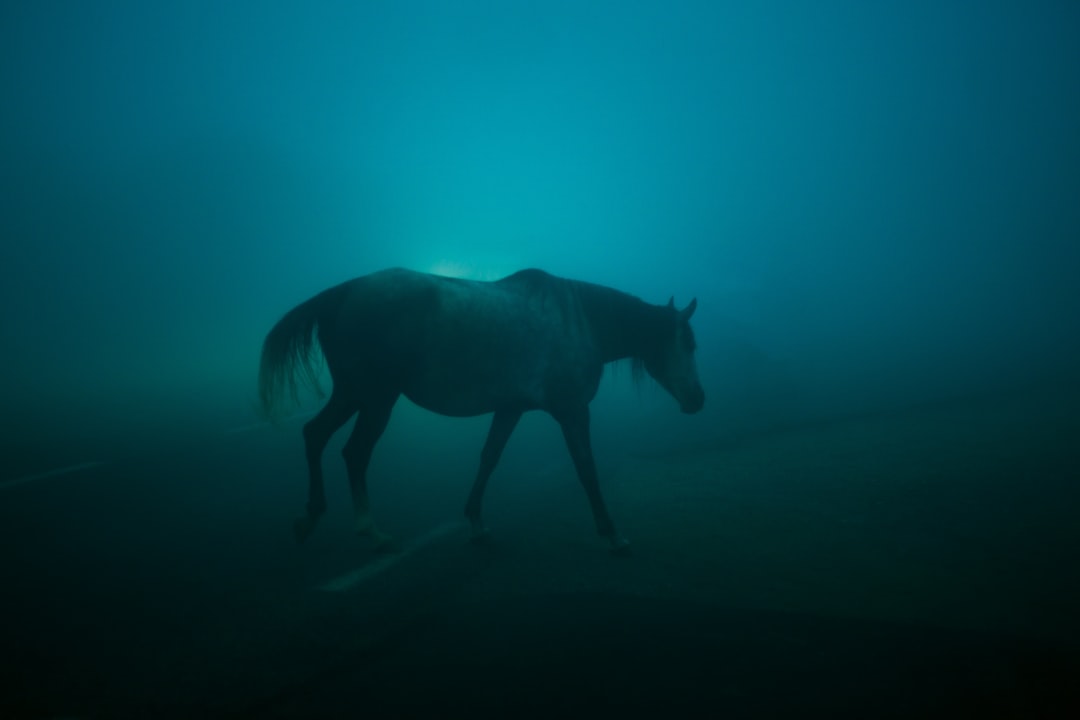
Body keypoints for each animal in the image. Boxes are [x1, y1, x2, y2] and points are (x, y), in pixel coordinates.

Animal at [258, 267, 704, 554]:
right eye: (688, 342)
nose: (698, 399)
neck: (580, 320)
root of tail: (343, 293)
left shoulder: (511, 409)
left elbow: (489, 458)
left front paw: (475, 523)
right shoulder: (572, 410)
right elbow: (586, 469)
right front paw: (612, 533)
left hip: (353, 394)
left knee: (315, 435)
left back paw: (310, 518)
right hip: (376, 397)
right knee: (355, 452)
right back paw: (372, 532)